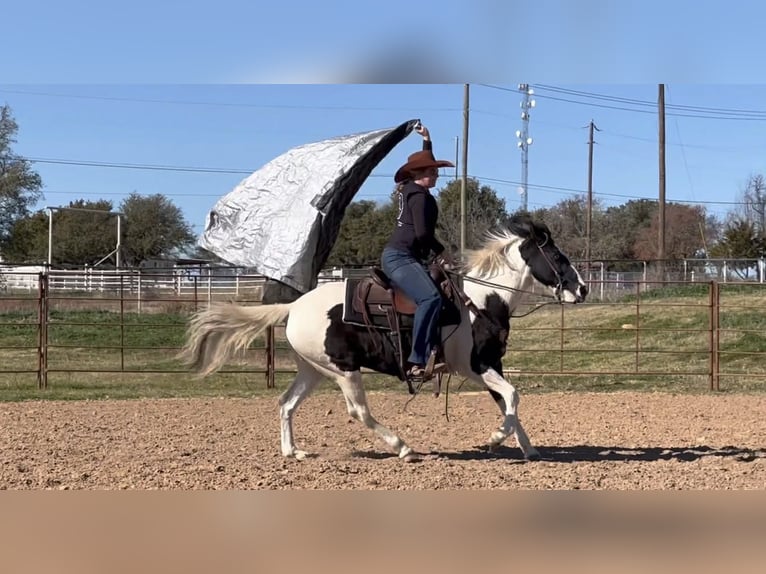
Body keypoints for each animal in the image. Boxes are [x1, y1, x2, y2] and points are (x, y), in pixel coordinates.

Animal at [179, 214, 588, 462]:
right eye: (557, 256)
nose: (582, 289)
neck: (480, 300)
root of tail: (294, 306)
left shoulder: (493, 365)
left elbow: (509, 402)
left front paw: (528, 449)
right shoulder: (473, 365)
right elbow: (512, 397)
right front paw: (494, 439)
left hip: (312, 370)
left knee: (286, 404)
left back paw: (293, 452)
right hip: (344, 371)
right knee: (358, 411)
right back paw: (402, 447)